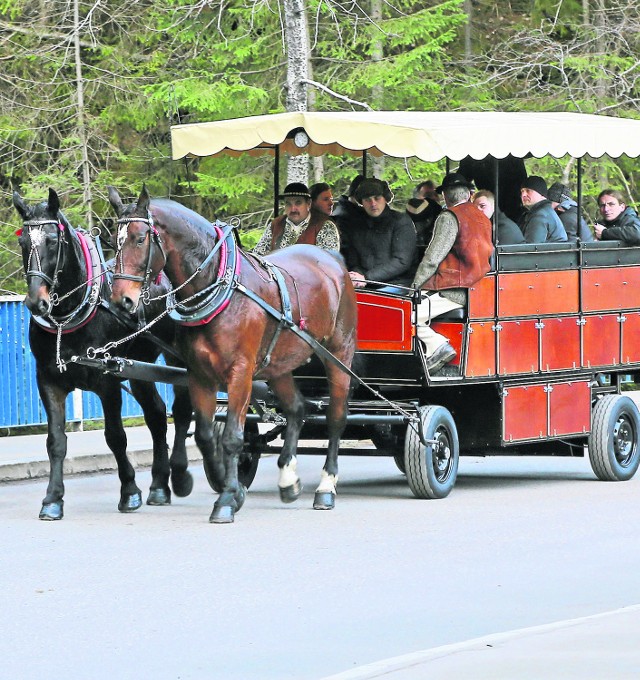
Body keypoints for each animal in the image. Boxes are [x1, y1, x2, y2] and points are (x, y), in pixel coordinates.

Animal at [11, 189, 192, 516]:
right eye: (22, 243)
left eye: (52, 241)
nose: (35, 302)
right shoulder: (48, 380)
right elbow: (55, 441)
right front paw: (53, 498)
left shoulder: (107, 382)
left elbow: (115, 437)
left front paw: (129, 491)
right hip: (141, 367)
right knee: (157, 415)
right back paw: (159, 484)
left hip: (177, 358)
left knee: (182, 410)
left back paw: (180, 475)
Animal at [110, 186, 360, 524]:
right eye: (115, 240)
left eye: (139, 238)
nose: (121, 300)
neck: (219, 285)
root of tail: (332, 260)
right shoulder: (199, 375)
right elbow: (205, 436)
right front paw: (232, 486)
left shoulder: (240, 373)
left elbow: (231, 437)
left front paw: (228, 498)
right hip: (279, 363)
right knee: (296, 410)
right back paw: (288, 480)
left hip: (339, 353)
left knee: (336, 417)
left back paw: (326, 486)